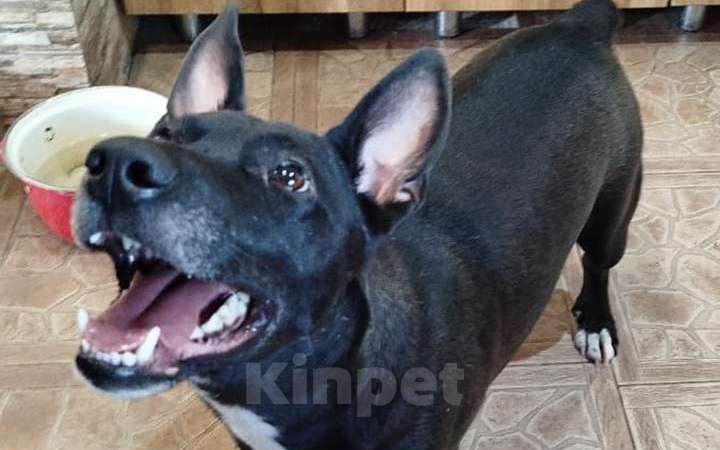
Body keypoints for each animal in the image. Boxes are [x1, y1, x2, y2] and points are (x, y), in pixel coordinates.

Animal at [72, 0, 642, 448]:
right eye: (163, 133)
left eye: (290, 177)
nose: (116, 164)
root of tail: (578, 25)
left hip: (614, 209)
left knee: (599, 263)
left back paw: (595, 321)